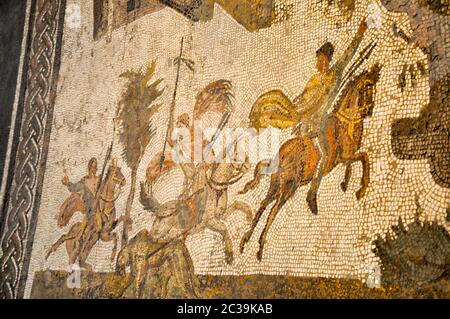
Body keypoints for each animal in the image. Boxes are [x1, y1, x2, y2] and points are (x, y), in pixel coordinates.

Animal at [237, 63, 382, 262]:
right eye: (367, 86)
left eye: (373, 86)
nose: (369, 111)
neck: (345, 123)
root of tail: (281, 154)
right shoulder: (343, 156)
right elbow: (364, 158)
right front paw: (360, 189)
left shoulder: (345, 157)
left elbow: (354, 162)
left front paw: (345, 183)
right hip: (289, 186)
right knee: (273, 210)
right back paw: (261, 246)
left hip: (276, 185)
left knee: (263, 205)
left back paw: (246, 240)